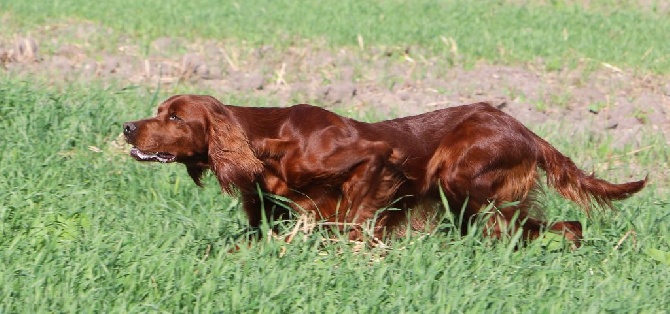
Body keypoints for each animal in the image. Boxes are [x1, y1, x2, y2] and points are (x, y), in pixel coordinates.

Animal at [123, 94, 648, 247]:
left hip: (459, 178)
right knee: (563, 225)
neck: (268, 141)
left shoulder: (375, 160)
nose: (128, 127)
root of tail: (522, 127)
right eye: (159, 110)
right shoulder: (271, 214)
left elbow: (356, 222)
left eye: (175, 117)